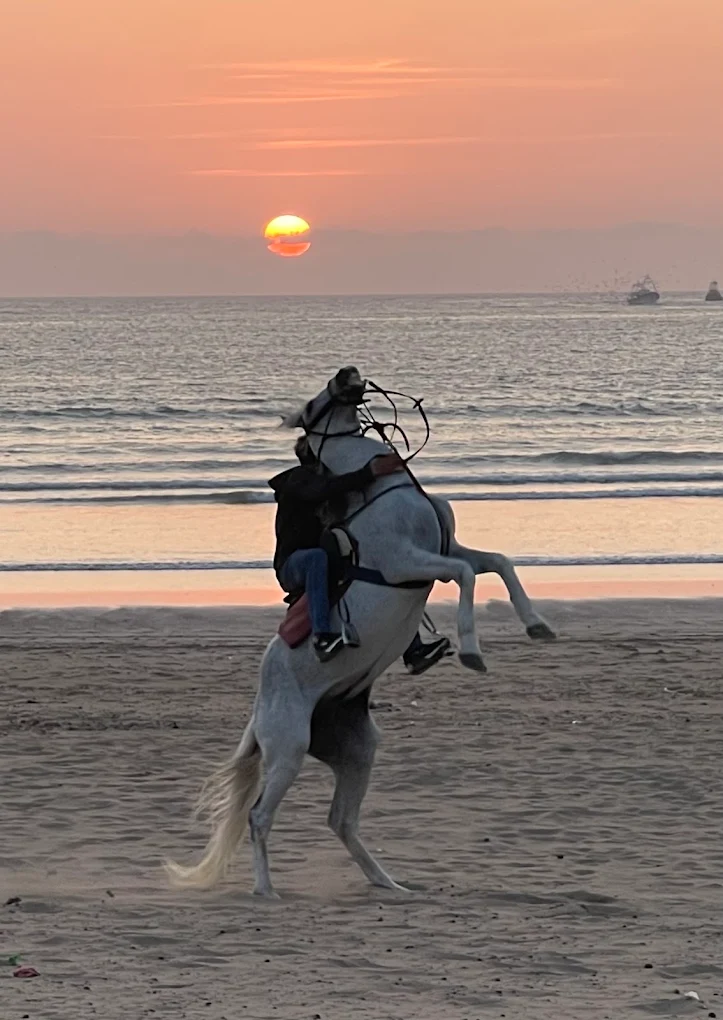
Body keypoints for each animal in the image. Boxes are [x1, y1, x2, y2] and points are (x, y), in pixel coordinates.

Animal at [164, 366, 555, 898]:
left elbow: (499, 563)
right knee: (259, 817)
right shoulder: (408, 562)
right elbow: (466, 576)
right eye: (314, 404)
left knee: (341, 821)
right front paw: (472, 650)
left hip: (355, 752)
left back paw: (390, 884)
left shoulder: (448, 548)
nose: (346, 373)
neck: (386, 490)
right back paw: (267, 891)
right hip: (288, 749)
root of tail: (260, 705)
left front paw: (537, 625)